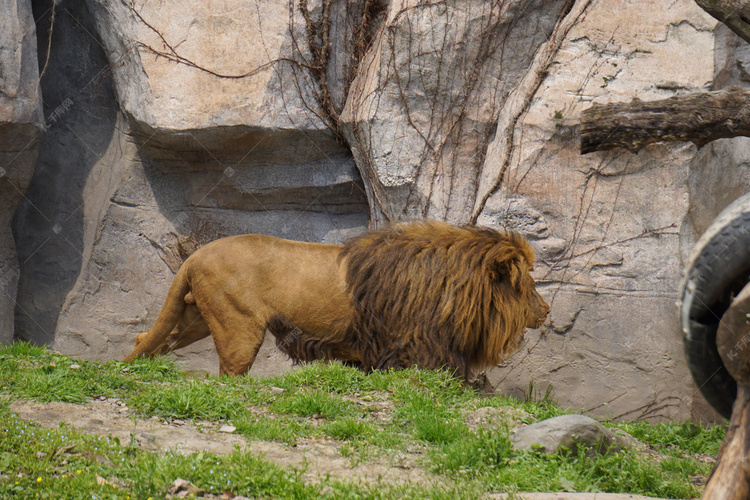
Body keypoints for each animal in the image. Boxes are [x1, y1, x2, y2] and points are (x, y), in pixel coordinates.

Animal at [123, 221, 552, 376]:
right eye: (530, 285)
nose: (547, 311)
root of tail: (195, 255)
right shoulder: (418, 347)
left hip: (194, 318)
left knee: (148, 338)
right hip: (238, 326)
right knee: (230, 371)